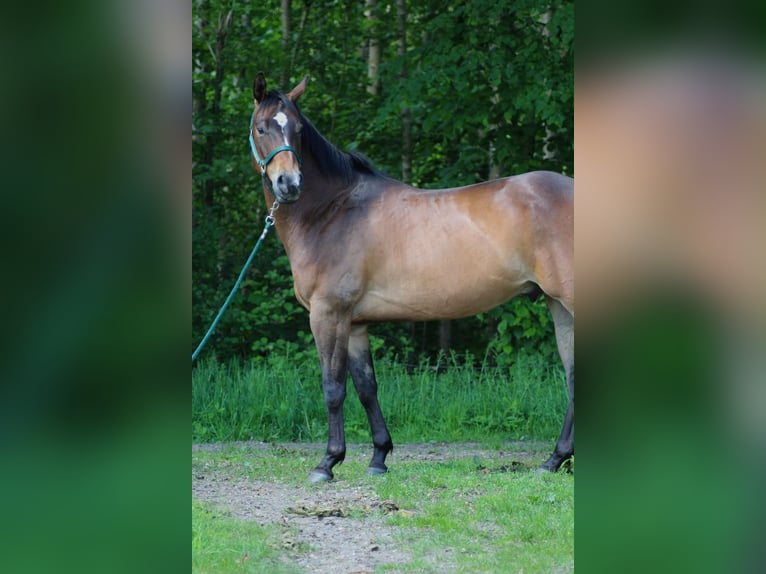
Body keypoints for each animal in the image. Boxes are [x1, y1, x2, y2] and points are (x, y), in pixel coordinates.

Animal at [249, 73, 573, 482]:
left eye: (298, 129)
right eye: (262, 128)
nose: (288, 185)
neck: (333, 211)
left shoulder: (327, 314)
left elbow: (333, 387)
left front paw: (328, 462)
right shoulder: (355, 322)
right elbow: (367, 387)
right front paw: (378, 457)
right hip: (559, 305)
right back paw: (554, 460)